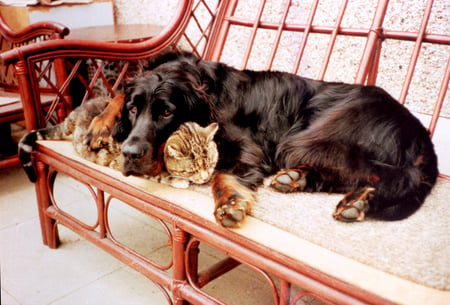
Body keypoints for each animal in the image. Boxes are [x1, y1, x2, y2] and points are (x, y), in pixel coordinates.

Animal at [19, 95, 220, 188]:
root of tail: (75, 112)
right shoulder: (126, 164)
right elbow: (158, 175)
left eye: (211, 162)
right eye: (192, 169)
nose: (206, 177)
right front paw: (178, 180)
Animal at [110, 51, 438, 226]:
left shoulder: (246, 148)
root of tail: (419, 131)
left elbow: (224, 175)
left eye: (167, 112)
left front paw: (229, 202)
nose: (130, 153)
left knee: (397, 176)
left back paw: (361, 201)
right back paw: (296, 178)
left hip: (306, 140)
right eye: (133, 108)